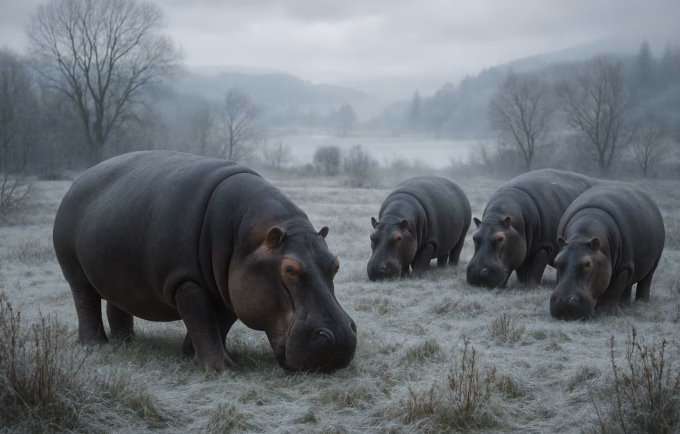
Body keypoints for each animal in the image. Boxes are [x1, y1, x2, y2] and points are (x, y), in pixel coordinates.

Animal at [53, 151, 357, 372]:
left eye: (335, 263)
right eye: (290, 269)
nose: (341, 336)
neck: (244, 234)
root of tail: (78, 180)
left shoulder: (231, 287)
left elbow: (217, 324)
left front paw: (190, 354)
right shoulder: (187, 281)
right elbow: (201, 320)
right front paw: (221, 368)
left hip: (119, 275)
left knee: (118, 305)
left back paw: (127, 342)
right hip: (75, 272)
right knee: (86, 302)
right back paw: (95, 345)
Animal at [466, 169, 598, 288]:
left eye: (500, 238)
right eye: (474, 237)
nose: (476, 273)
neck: (497, 216)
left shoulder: (543, 246)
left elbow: (536, 268)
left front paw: (531, 286)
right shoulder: (520, 246)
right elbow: (521, 269)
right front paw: (521, 284)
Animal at [550, 182, 665, 320]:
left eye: (587, 264)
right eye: (556, 262)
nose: (562, 302)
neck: (583, 235)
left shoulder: (623, 267)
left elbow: (614, 290)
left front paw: (607, 313)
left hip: (653, 263)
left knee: (645, 281)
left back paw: (641, 302)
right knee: (627, 286)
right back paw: (624, 304)